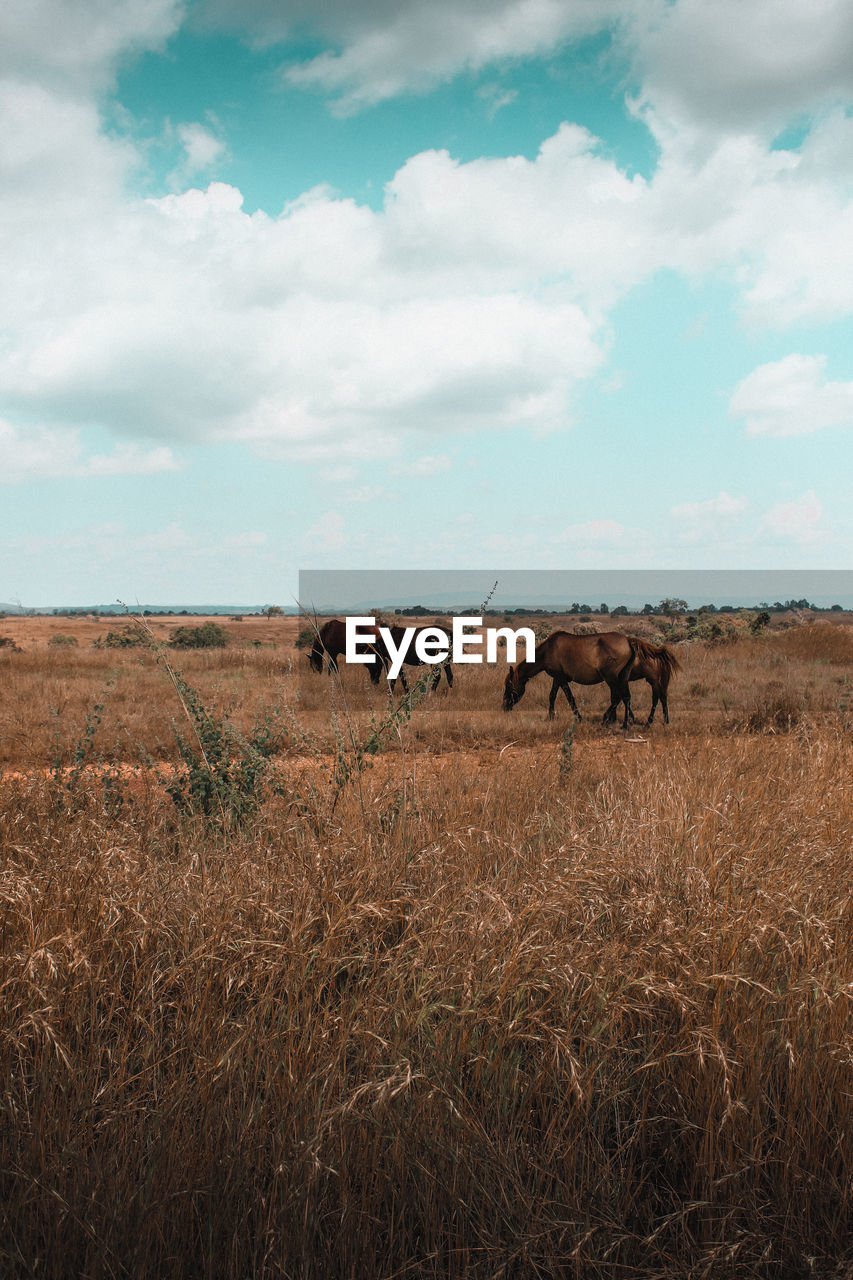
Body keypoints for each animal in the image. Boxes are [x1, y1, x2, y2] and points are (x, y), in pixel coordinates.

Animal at [502, 632, 635, 732]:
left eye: (509, 686)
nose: (504, 706)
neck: (547, 650)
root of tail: (628, 641)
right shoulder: (556, 678)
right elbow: (552, 696)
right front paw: (550, 717)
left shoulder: (561, 678)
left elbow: (569, 697)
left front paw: (578, 718)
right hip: (622, 677)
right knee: (626, 697)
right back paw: (625, 723)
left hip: (611, 677)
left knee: (618, 697)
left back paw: (608, 720)